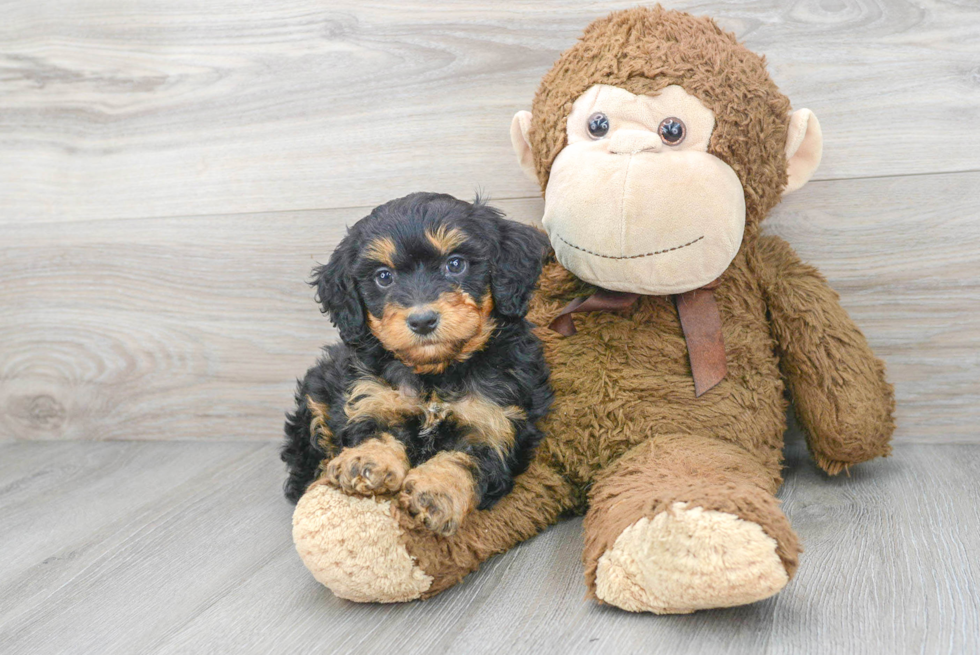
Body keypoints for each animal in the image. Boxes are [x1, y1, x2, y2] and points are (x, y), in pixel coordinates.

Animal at [282, 192, 552, 536]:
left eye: (455, 264)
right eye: (384, 277)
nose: (422, 320)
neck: (435, 374)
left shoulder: (495, 423)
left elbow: (465, 460)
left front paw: (435, 491)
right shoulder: (372, 399)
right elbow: (376, 432)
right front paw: (366, 461)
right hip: (317, 391)